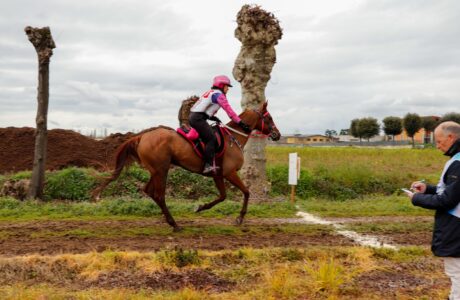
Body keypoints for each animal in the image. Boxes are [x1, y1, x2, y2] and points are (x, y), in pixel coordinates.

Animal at [92, 102, 280, 231]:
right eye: (269, 117)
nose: (277, 135)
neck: (233, 138)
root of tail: (141, 137)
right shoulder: (229, 173)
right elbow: (246, 192)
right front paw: (240, 219)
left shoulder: (218, 174)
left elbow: (222, 196)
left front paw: (200, 207)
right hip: (162, 170)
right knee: (159, 195)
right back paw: (174, 224)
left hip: (156, 171)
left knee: (149, 191)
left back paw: (170, 221)